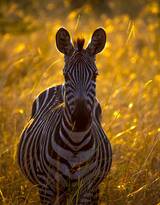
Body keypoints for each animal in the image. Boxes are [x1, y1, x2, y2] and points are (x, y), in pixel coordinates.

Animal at [17, 27, 112, 205]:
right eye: (66, 75)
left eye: (95, 75)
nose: (80, 120)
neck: (75, 143)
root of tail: (58, 86)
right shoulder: (46, 187)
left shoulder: (86, 188)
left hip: (92, 187)